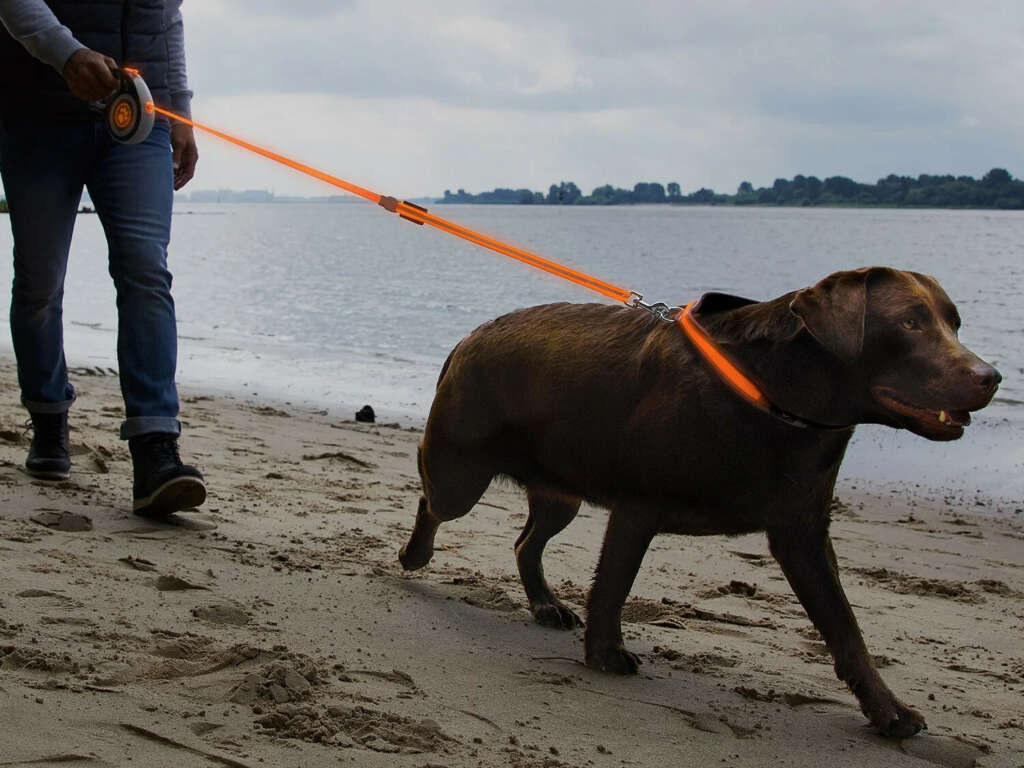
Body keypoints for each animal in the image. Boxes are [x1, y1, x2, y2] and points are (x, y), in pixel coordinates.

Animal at [397, 266, 999, 741]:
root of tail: (471, 335)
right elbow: (613, 588)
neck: (770, 396)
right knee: (431, 500)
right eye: (910, 324)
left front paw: (886, 711)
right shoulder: (638, 509)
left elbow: (846, 630)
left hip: (559, 492)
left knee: (527, 541)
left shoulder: (803, 535)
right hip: (460, 475)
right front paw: (605, 655)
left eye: (955, 324)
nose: (992, 377)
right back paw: (413, 556)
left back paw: (545, 605)